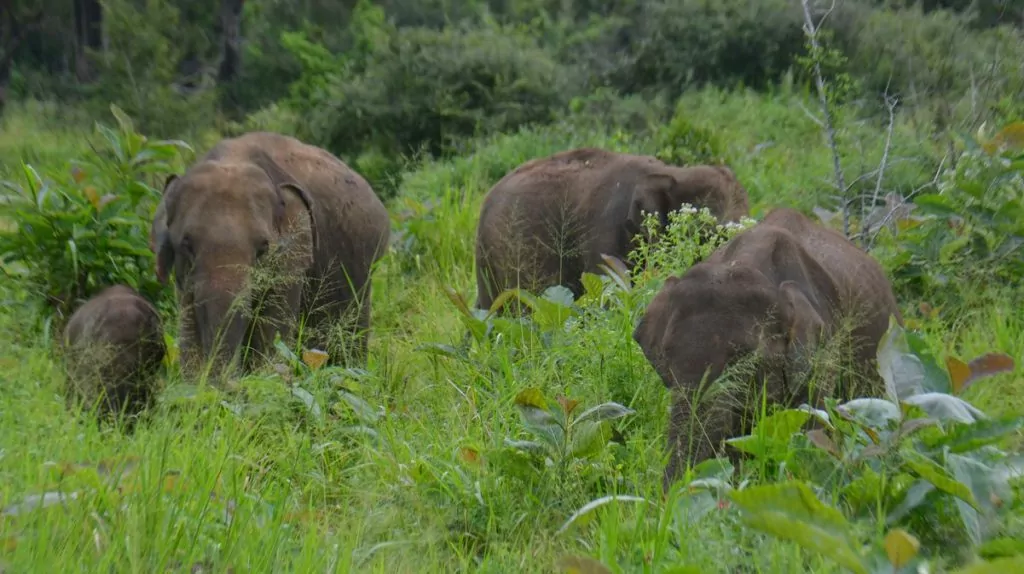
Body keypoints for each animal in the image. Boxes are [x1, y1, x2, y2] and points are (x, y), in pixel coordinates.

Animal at [151, 131, 391, 378]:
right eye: (186, 244)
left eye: (263, 249)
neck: (234, 158)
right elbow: (189, 324)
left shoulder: (294, 256)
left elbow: (272, 331)